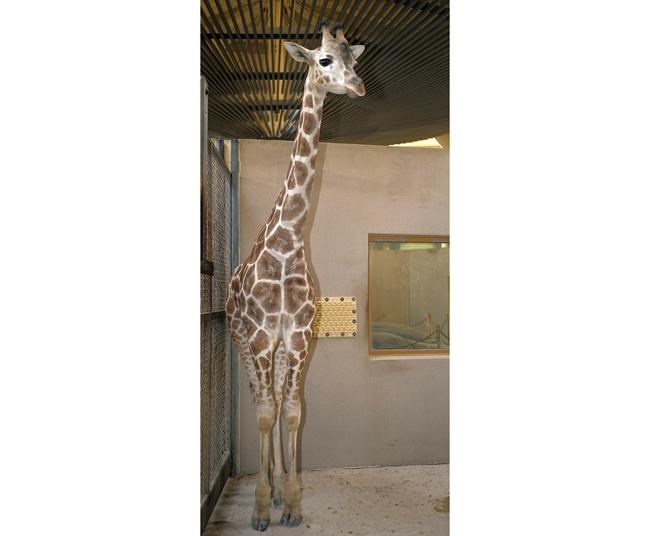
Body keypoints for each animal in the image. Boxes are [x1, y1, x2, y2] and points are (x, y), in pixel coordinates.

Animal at [225, 23, 366, 532]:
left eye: (355, 59)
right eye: (324, 60)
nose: (358, 86)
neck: (288, 242)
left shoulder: (300, 335)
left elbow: (292, 413)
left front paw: (292, 503)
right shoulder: (262, 335)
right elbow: (267, 415)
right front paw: (261, 508)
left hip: (282, 348)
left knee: (279, 401)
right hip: (242, 342)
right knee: (257, 400)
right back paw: (263, 489)